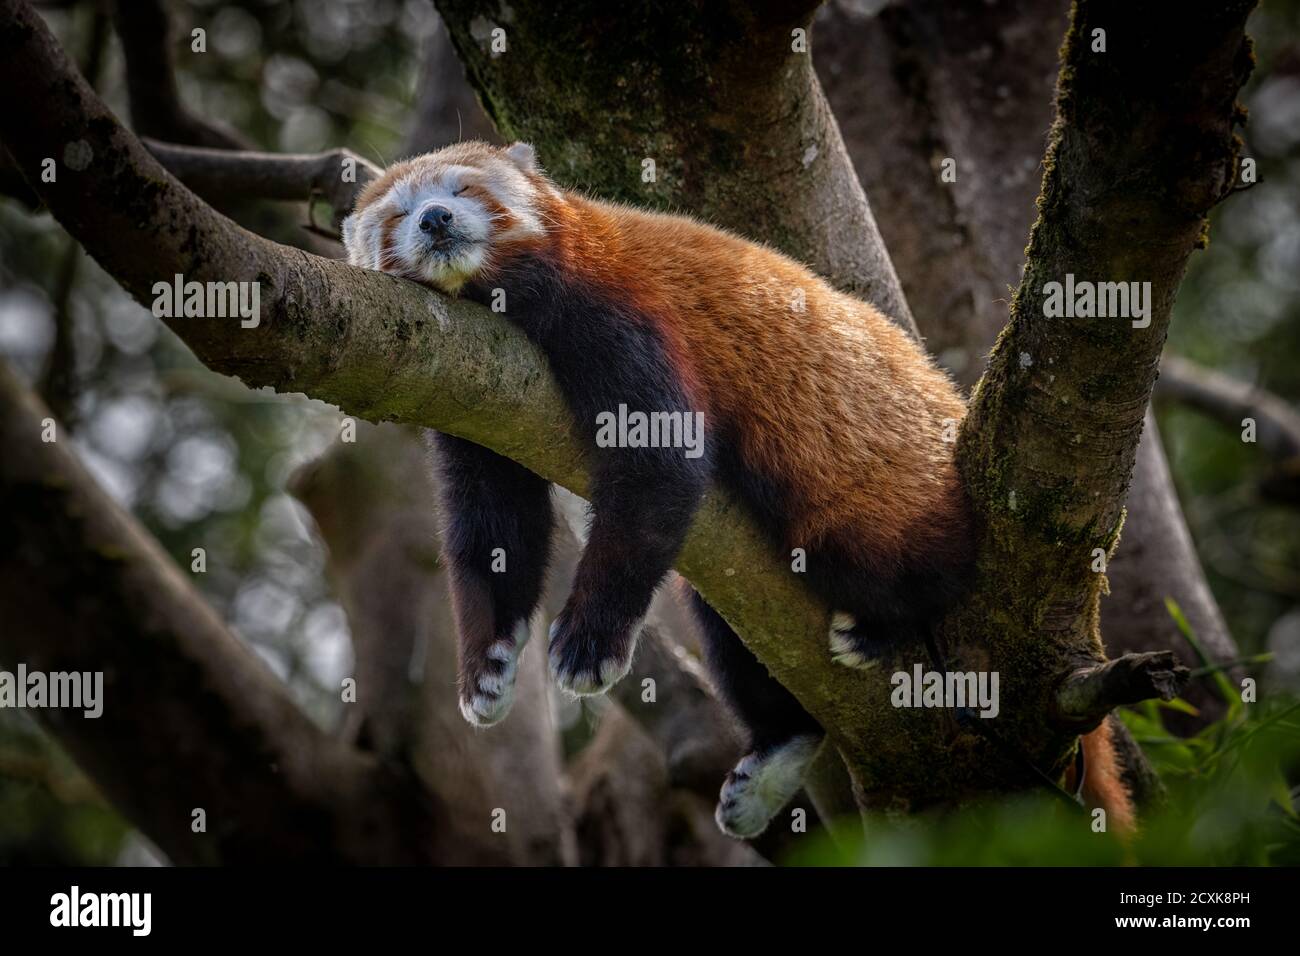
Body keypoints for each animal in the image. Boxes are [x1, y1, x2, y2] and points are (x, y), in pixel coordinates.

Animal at [340, 138, 1133, 842]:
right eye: (396, 214)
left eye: (464, 188)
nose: (434, 220)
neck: (498, 306)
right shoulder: (470, 387)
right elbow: (494, 527)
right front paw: (490, 664)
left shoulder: (617, 310)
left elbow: (661, 471)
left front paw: (589, 641)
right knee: (727, 625)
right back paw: (781, 746)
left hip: (878, 499)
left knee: (891, 554)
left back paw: (886, 621)